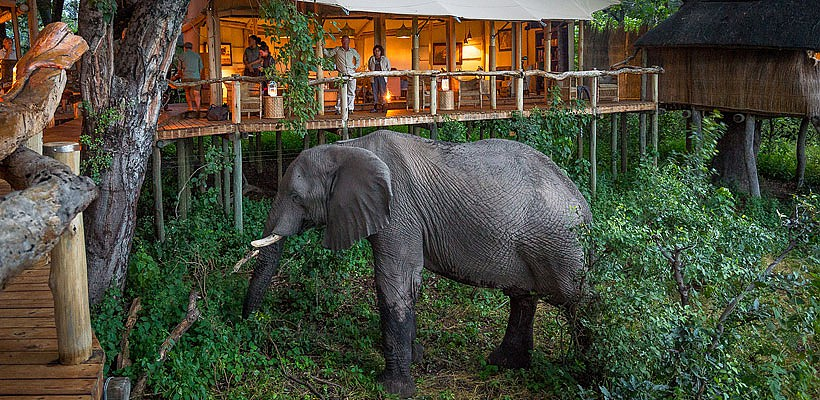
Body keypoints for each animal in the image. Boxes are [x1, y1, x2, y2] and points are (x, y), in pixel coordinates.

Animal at [242, 130, 588, 398]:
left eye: (296, 198)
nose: (245, 322)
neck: (349, 147)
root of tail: (583, 204)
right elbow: (410, 283)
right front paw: (418, 357)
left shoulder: (399, 211)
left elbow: (394, 281)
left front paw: (392, 389)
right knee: (523, 298)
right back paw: (504, 364)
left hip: (560, 246)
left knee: (578, 302)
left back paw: (580, 371)